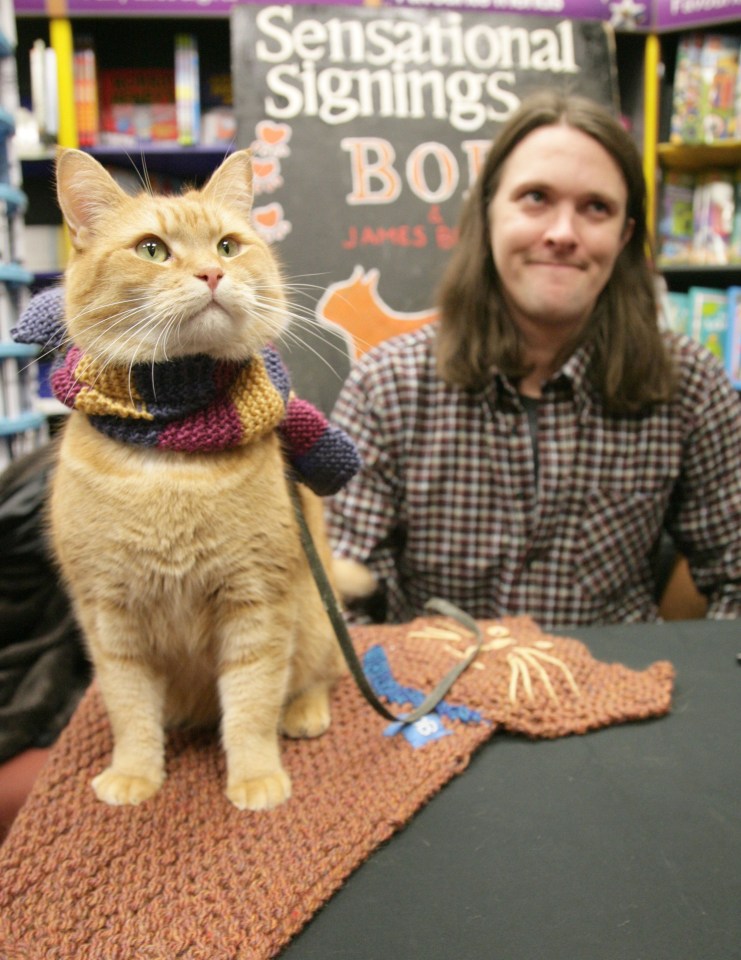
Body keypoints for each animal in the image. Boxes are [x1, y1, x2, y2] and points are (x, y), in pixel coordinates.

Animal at [51, 148, 346, 808]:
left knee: (323, 673)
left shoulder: (257, 602)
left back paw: (306, 712)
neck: (172, 451)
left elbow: (252, 704)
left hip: (318, 620)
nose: (212, 273)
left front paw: (256, 776)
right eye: (152, 249)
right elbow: (130, 708)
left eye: (228, 246)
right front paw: (136, 772)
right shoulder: (110, 617)